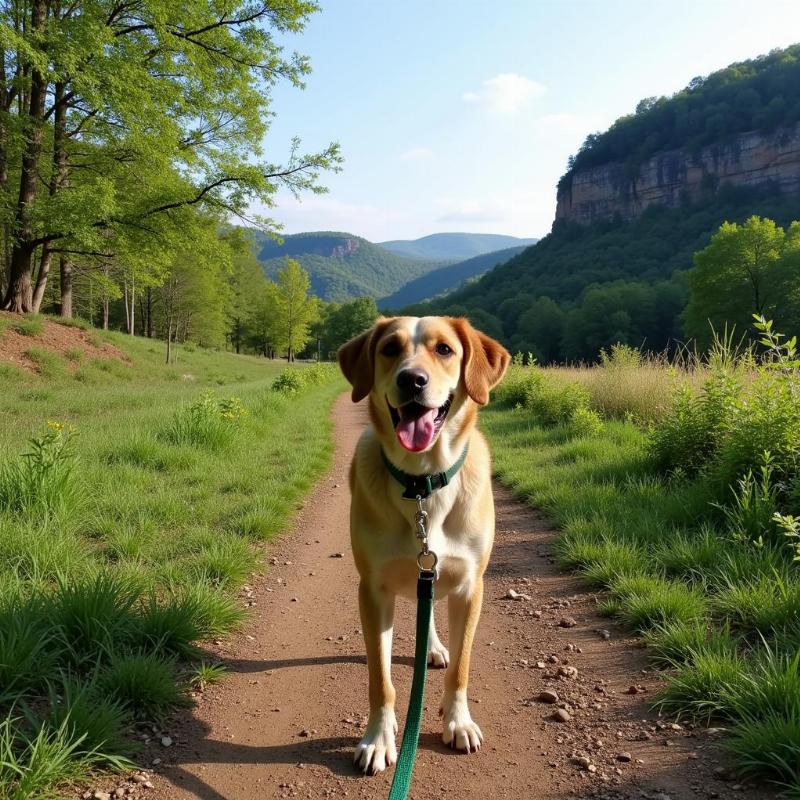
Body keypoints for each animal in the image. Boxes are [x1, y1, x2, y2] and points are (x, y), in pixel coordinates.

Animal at [336, 314, 510, 776]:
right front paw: (378, 739)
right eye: (389, 349)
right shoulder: (373, 589)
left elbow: (462, 669)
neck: (422, 483)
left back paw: (431, 648)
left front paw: (458, 722)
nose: (412, 379)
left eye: (444, 349)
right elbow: (381, 680)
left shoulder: (470, 587)